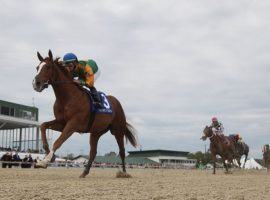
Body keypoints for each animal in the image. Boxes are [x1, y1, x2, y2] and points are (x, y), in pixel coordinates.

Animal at [32, 50, 137, 178]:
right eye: (37, 67)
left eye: (48, 67)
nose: (36, 83)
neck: (67, 97)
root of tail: (117, 102)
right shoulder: (62, 122)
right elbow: (43, 126)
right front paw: (49, 155)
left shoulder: (73, 124)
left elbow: (58, 142)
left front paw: (44, 161)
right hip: (96, 132)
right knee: (93, 152)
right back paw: (84, 172)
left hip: (118, 130)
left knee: (121, 151)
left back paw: (124, 173)